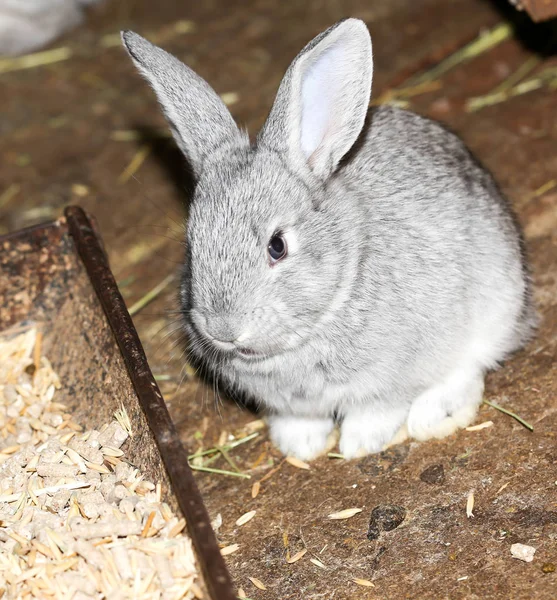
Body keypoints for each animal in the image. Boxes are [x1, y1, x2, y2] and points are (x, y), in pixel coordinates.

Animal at [121, 18, 536, 460]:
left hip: (496, 302)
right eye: (191, 246)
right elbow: (300, 420)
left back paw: (431, 417)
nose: (223, 329)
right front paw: (299, 446)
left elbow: (380, 409)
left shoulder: (391, 381)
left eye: (277, 246)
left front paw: (359, 444)